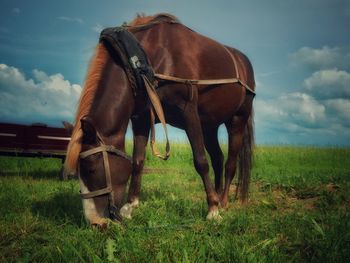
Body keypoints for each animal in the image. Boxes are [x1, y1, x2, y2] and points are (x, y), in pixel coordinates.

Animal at [64, 12, 254, 227]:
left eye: (90, 169)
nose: (95, 222)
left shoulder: (189, 112)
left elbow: (200, 161)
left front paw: (212, 210)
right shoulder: (141, 118)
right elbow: (138, 161)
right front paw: (130, 206)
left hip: (237, 119)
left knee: (230, 163)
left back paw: (222, 201)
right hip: (209, 126)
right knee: (218, 159)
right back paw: (218, 195)